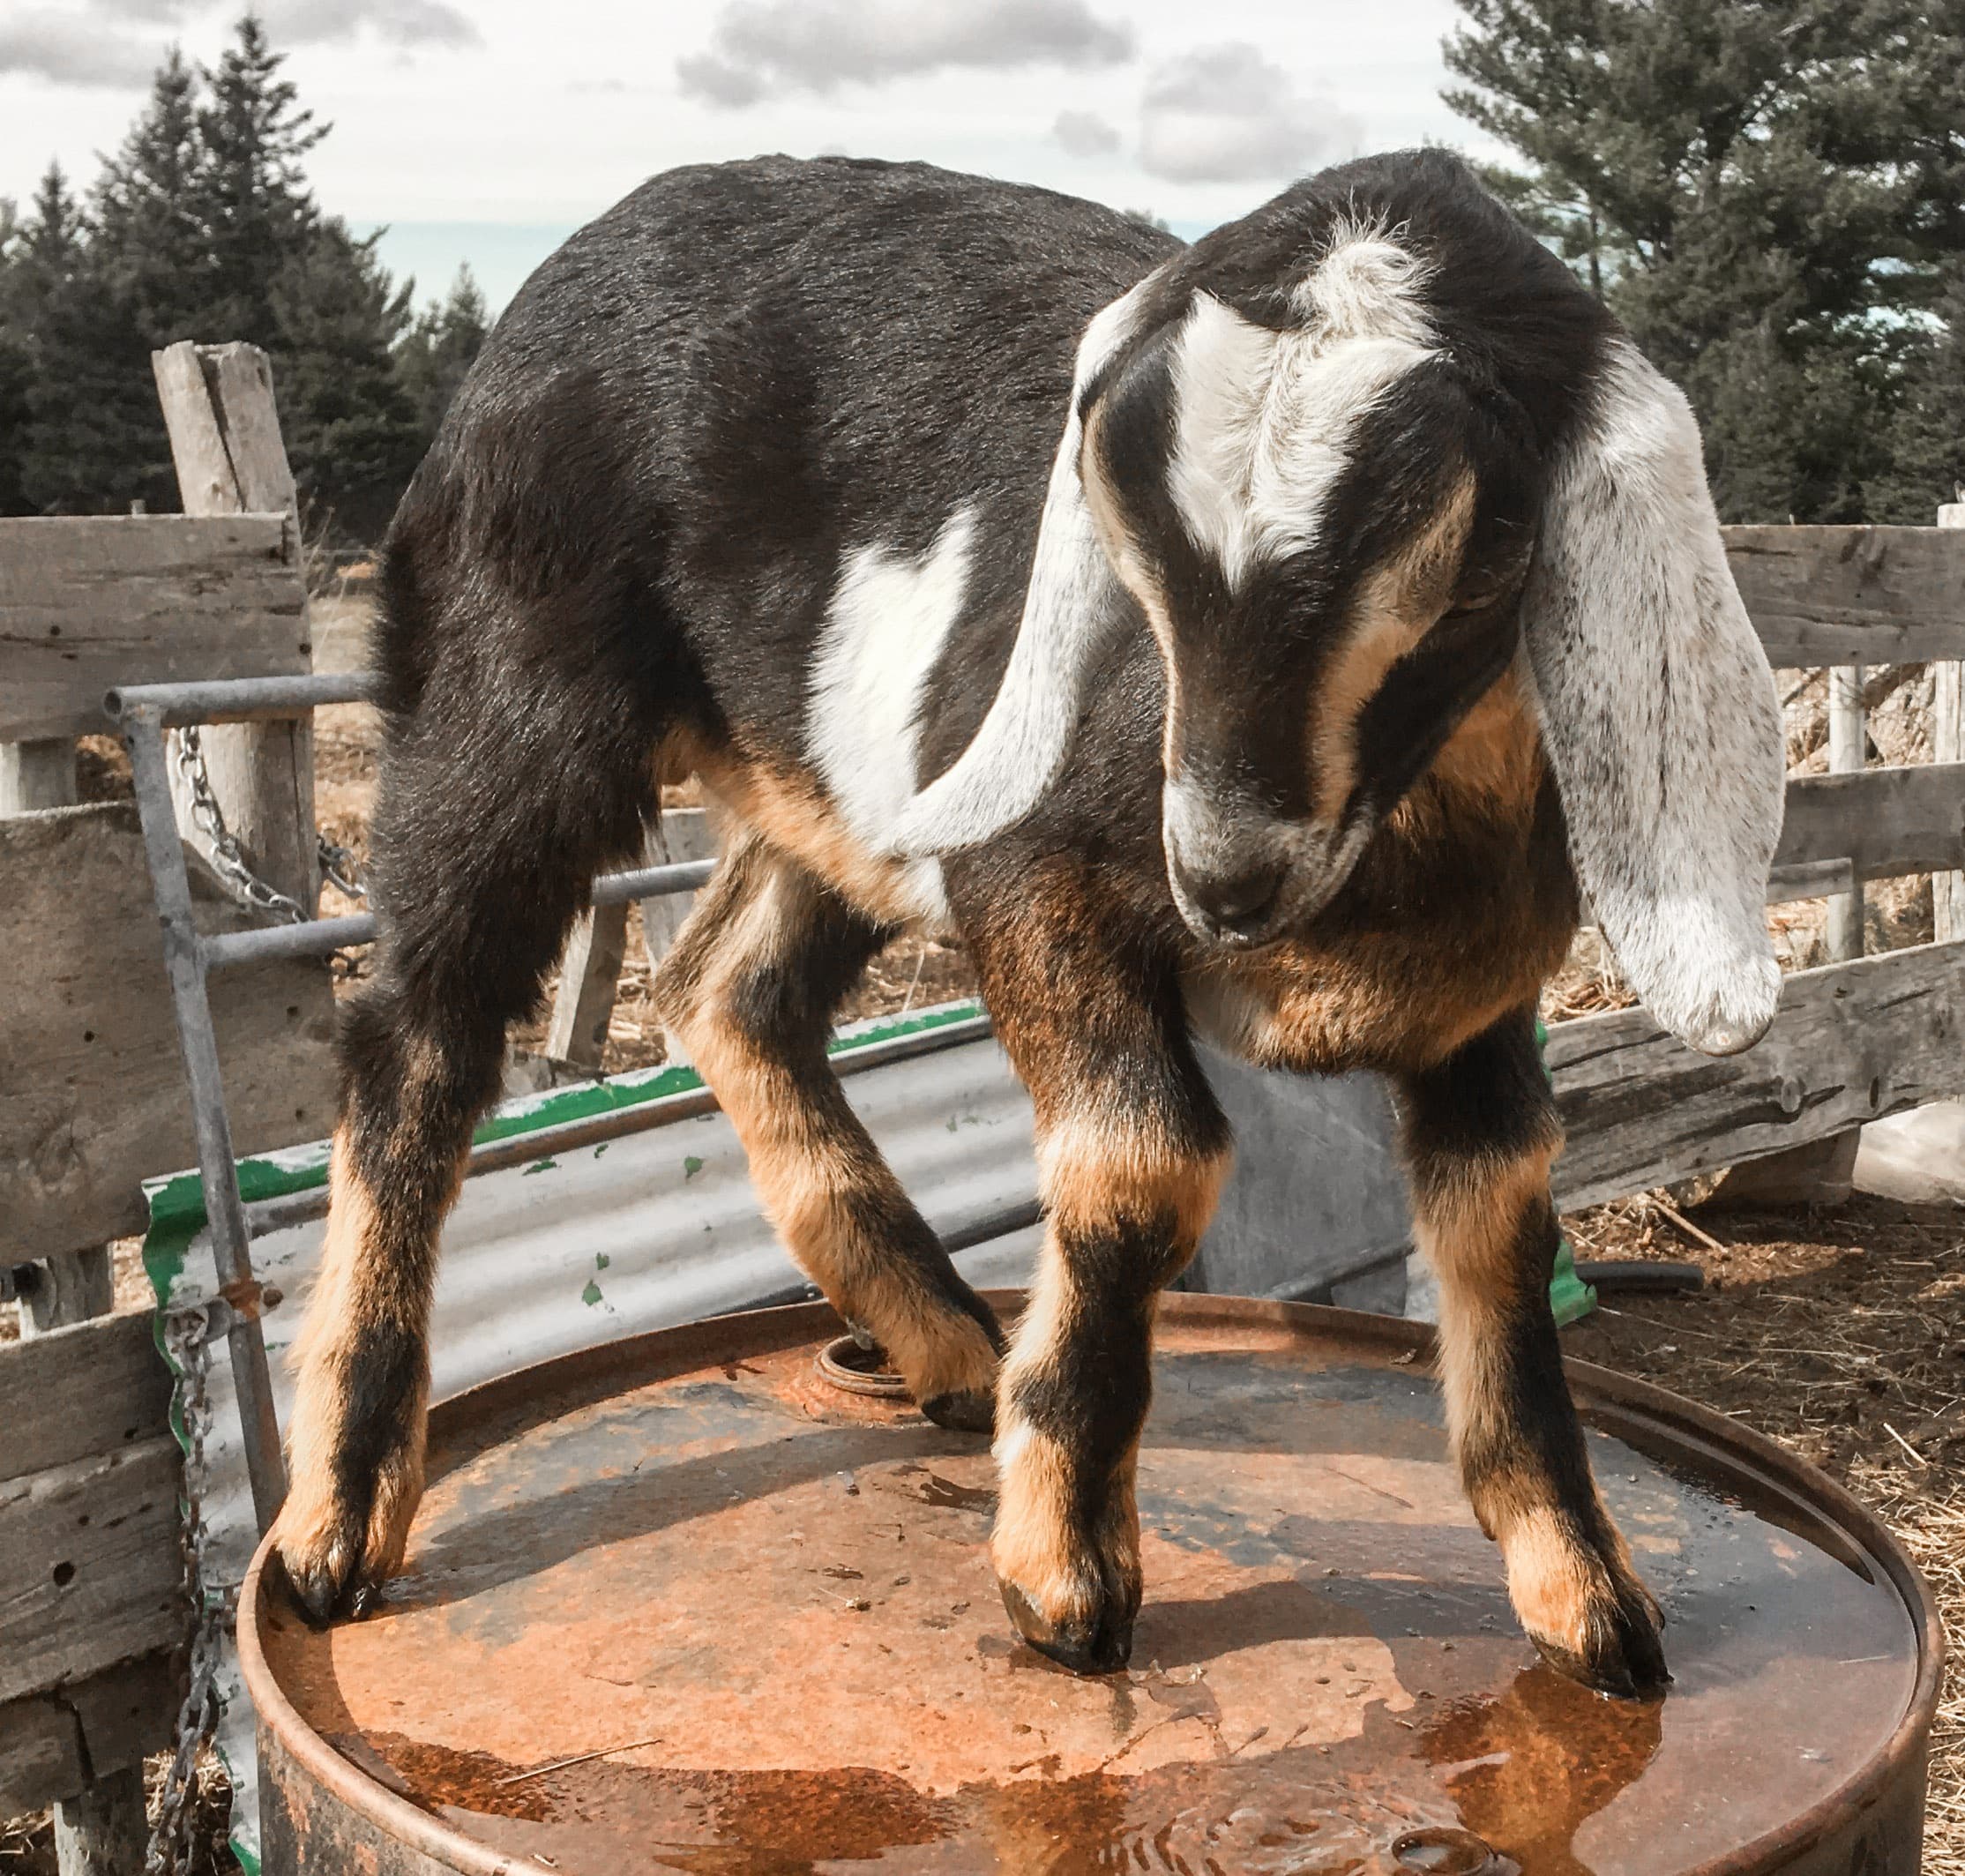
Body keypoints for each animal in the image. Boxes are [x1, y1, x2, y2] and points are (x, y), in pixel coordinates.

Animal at [272, 149, 1784, 1701]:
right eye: (1133, 539)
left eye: (1483, 563)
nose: (1224, 881)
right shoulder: (1031, 872)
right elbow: (1143, 1162)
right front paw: (1063, 1564)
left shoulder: (1479, 999)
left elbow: (1500, 1216)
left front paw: (1584, 1585)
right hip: (512, 686)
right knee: (420, 1033)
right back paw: (341, 1512)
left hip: (839, 791)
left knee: (726, 987)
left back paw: (948, 1346)